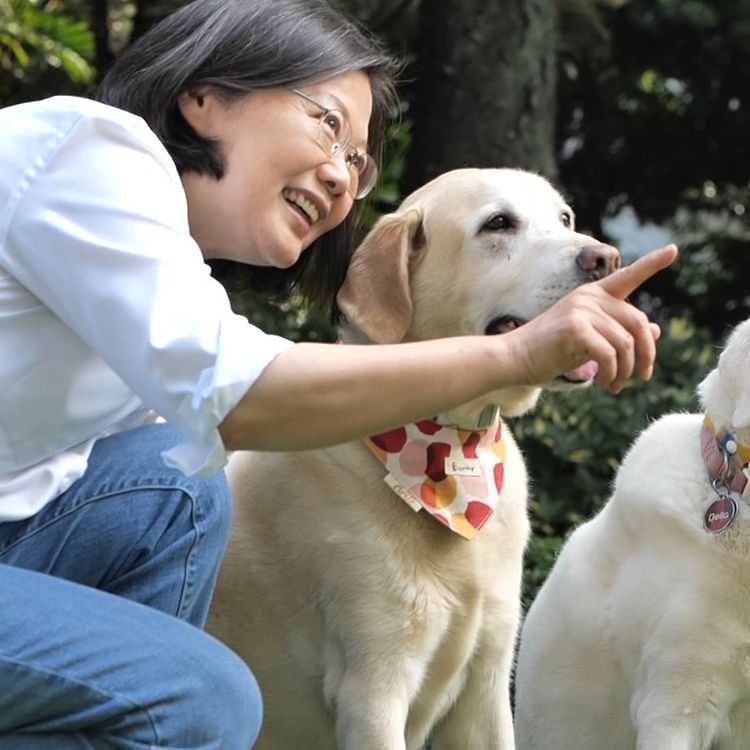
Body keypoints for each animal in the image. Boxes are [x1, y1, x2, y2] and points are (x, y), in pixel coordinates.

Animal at [209, 170, 620, 750]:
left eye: (565, 219)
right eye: (499, 223)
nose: (606, 258)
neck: (449, 448)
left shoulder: (487, 684)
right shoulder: (373, 688)